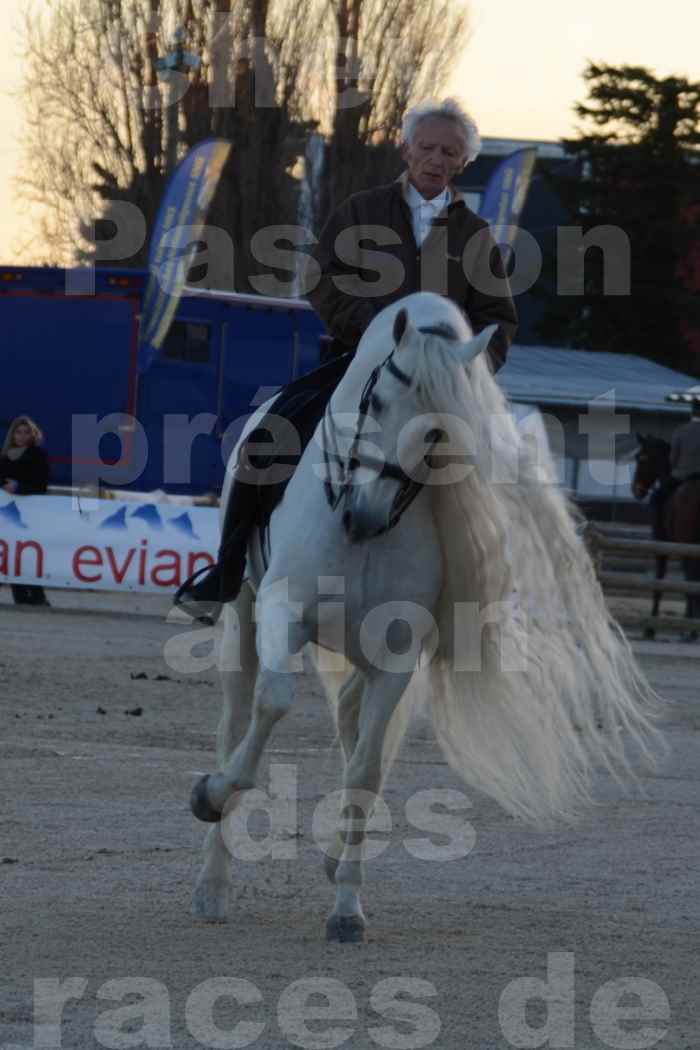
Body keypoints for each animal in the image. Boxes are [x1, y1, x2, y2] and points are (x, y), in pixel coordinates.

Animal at [189, 291, 663, 940]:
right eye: (377, 401)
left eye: (439, 431)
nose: (362, 517)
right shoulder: (283, 610)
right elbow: (275, 703)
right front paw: (212, 796)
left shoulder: (395, 650)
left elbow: (367, 768)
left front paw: (347, 907)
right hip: (243, 617)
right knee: (236, 725)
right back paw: (213, 882)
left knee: (350, 721)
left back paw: (335, 854)